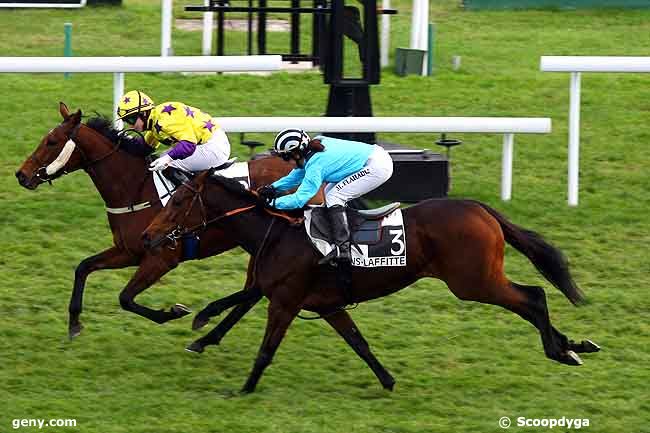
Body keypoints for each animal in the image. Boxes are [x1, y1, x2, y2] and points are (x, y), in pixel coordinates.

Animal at [142, 171, 596, 392]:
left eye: (178, 201)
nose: (148, 236)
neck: (279, 233)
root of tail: (479, 208)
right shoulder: (326, 305)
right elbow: (359, 343)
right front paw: (388, 381)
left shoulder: (285, 302)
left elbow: (265, 349)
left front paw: (243, 389)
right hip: (478, 280)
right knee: (532, 299)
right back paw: (572, 346)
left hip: (474, 282)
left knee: (533, 297)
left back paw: (561, 351)